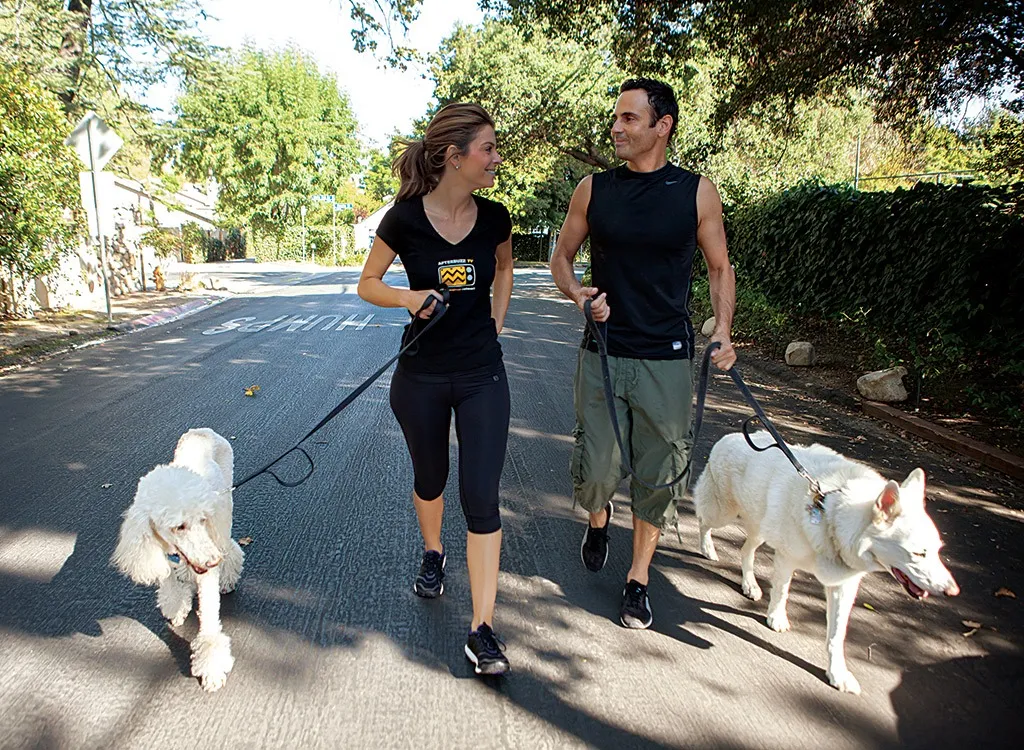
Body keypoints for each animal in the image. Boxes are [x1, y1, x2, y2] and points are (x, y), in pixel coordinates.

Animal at [110, 428, 243, 692]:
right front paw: (176, 606)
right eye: (179, 526)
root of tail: (203, 430)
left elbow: (209, 619)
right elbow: (170, 585)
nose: (213, 561)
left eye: (203, 519)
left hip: (225, 508)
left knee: (230, 546)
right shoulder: (160, 553)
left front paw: (212, 670)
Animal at [692, 430, 954, 692]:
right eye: (919, 553)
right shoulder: (786, 559)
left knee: (746, 551)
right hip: (723, 514)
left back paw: (750, 585)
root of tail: (733, 435)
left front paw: (837, 674)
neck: (831, 515)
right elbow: (782, 593)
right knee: (703, 520)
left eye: (936, 551)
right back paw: (707, 548)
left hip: (760, 529)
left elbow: (836, 636)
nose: (952, 591)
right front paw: (777, 618)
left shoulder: (843, 586)